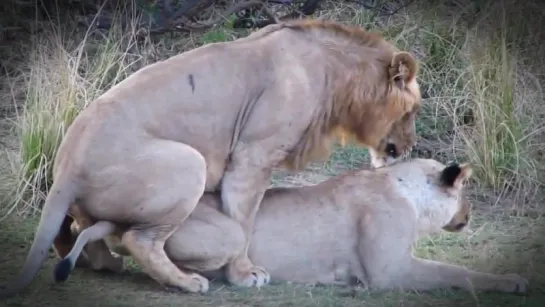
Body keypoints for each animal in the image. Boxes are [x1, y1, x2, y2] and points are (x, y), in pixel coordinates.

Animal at [0, 19, 420, 298]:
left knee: (74, 230)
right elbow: (242, 224)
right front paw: (245, 274)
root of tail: (64, 170)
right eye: (413, 109)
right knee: (139, 239)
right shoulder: (252, 158)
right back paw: (188, 282)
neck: (336, 81)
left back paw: (102, 262)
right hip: (190, 163)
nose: (411, 147)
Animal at [55, 160, 528, 294]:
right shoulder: (388, 272)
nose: (470, 214)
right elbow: (458, 272)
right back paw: (199, 280)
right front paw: (513, 281)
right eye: (464, 191)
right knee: (137, 242)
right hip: (222, 231)